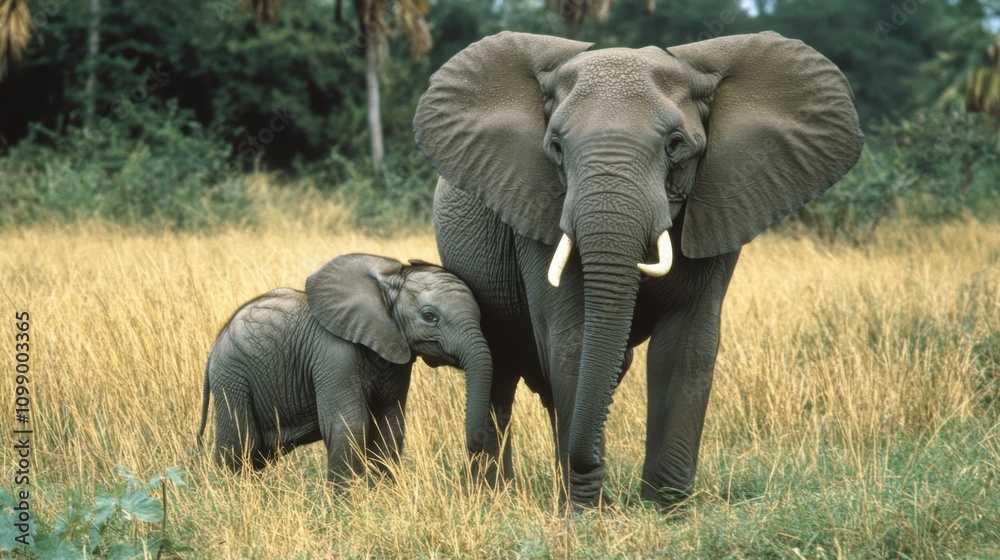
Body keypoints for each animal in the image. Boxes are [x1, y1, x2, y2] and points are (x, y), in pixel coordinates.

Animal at [196, 254, 492, 484]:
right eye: (430, 317)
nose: (474, 448)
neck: (386, 284)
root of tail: (215, 346)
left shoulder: (396, 353)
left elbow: (389, 426)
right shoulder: (332, 353)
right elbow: (349, 425)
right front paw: (346, 507)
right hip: (232, 376)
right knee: (240, 443)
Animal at [414, 31, 863, 510]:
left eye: (676, 144)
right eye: (556, 147)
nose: (595, 469)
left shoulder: (720, 200)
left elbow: (686, 346)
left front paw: (666, 511)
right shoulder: (535, 206)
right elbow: (572, 339)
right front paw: (585, 513)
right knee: (500, 369)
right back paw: (496, 497)